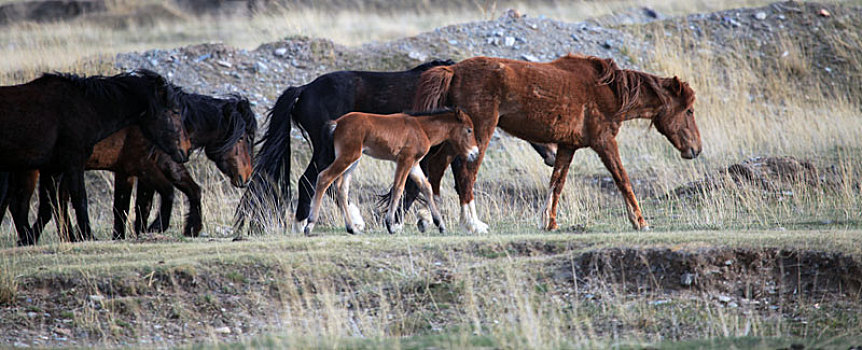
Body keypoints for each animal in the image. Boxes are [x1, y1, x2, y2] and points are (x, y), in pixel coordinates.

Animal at [0, 69, 191, 246]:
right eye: (175, 111)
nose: (185, 150)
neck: (86, 107)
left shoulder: (55, 168)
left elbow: (52, 205)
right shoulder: (73, 161)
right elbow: (79, 198)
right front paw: (88, 235)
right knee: (17, 204)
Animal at [412, 54, 704, 232]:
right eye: (689, 111)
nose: (696, 149)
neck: (610, 91)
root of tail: (453, 70)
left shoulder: (567, 146)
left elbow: (557, 182)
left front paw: (549, 222)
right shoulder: (604, 142)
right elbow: (622, 178)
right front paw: (639, 221)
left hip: (456, 139)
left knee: (435, 170)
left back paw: (428, 216)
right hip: (479, 134)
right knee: (465, 175)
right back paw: (473, 224)